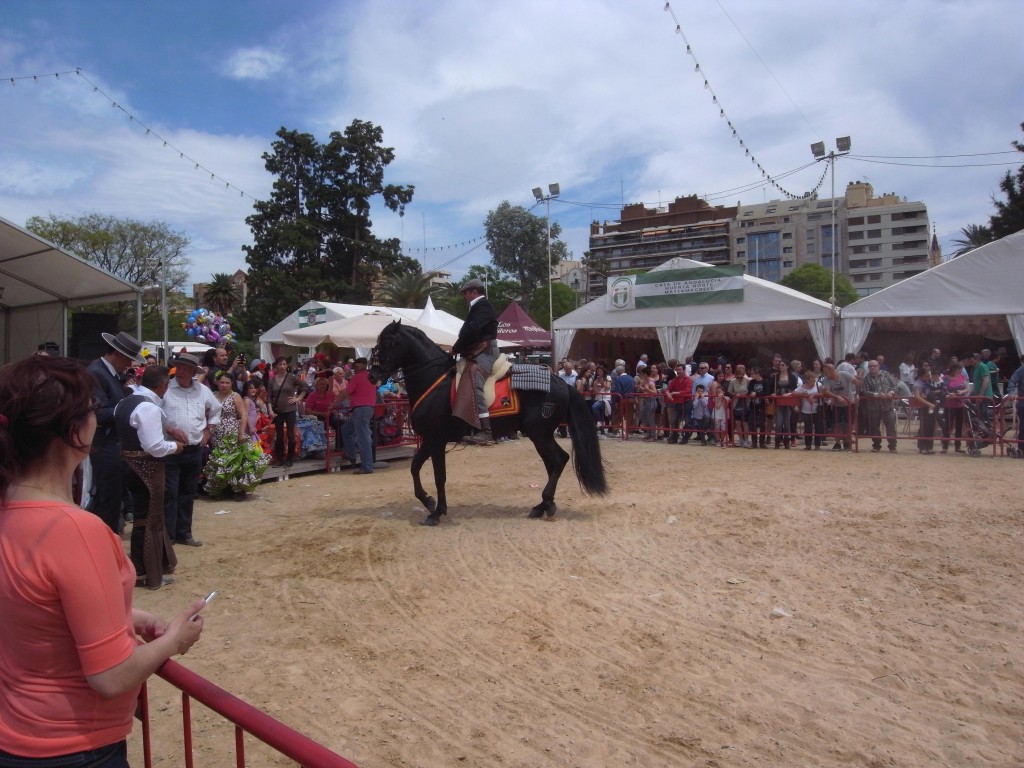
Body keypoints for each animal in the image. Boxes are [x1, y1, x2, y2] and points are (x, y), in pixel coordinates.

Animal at [370, 321, 602, 528]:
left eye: (386, 344)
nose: (372, 375)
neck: (435, 381)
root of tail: (561, 382)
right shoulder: (430, 440)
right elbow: (415, 467)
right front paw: (429, 502)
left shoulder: (436, 440)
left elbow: (438, 476)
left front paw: (436, 511)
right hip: (539, 435)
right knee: (552, 463)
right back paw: (544, 505)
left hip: (540, 434)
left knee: (559, 460)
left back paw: (544, 503)